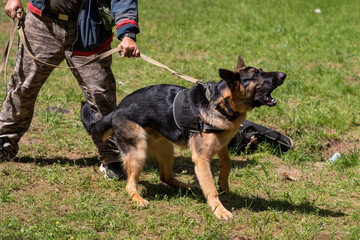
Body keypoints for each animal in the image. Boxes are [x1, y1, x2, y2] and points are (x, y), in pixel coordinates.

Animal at [81, 55, 286, 220]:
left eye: (261, 71)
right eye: (256, 75)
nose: (283, 74)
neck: (219, 103)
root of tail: (116, 110)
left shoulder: (221, 145)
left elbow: (226, 164)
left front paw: (224, 184)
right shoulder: (201, 159)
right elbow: (211, 188)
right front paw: (219, 210)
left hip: (165, 150)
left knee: (166, 176)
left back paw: (188, 187)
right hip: (138, 151)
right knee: (130, 185)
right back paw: (138, 199)